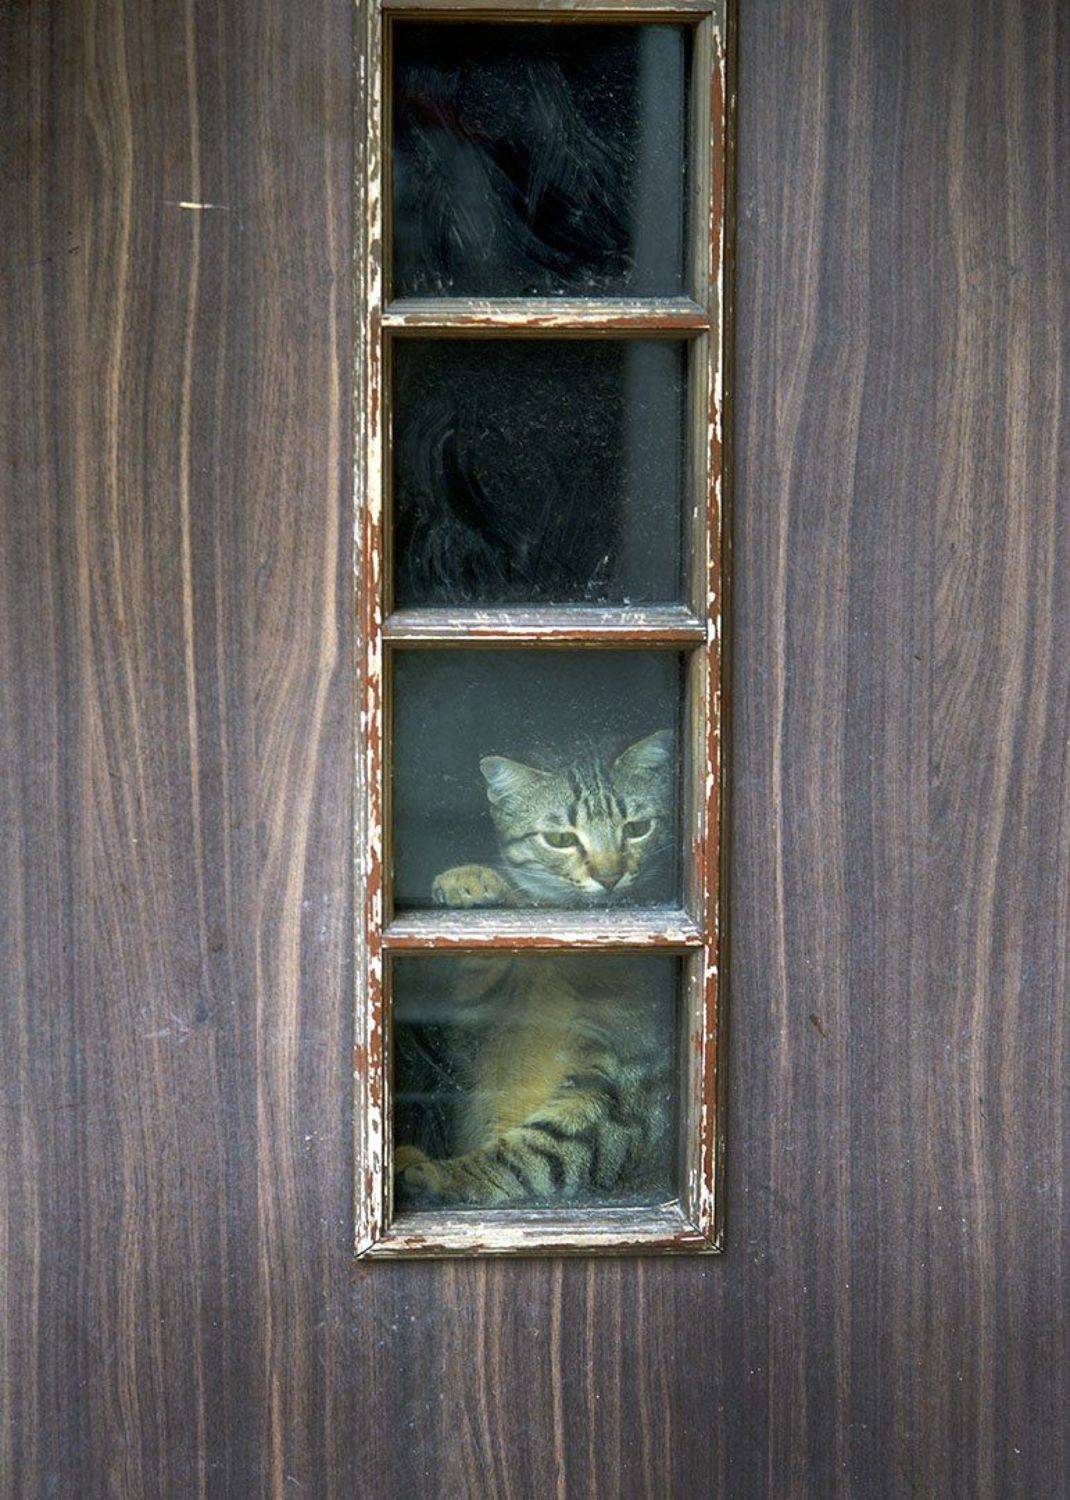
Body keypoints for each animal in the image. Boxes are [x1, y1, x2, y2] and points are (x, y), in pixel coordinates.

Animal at [395, 730, 675, 1209]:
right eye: (560, 838)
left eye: (637, 829)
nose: (610, 876)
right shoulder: (469, 1038)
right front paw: (474, 882)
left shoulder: (621, 1091)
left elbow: (535, 1156)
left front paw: (441, 1176)